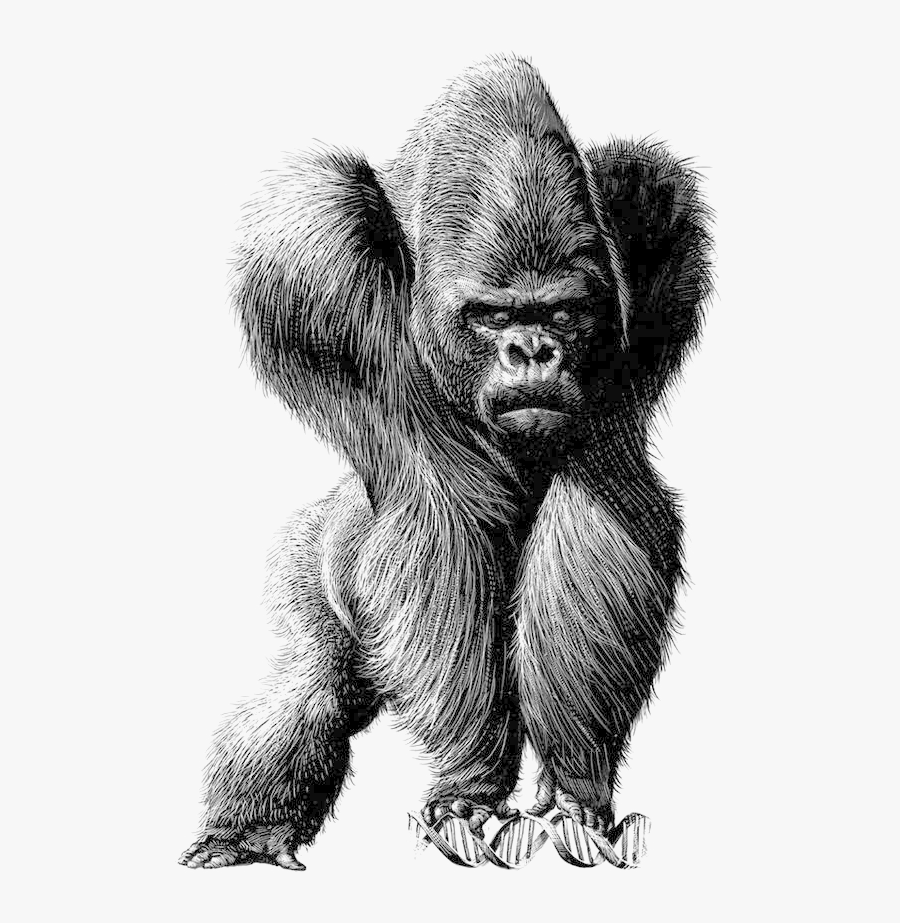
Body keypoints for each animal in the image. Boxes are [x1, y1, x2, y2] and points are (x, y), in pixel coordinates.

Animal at [179, 55, 712, 870]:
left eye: (562, 313)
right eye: (492, 316)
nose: (533, 352)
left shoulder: (657, 221)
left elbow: (600, 511)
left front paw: (577, 784)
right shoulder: (306, 249)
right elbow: (438, 520)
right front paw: (471, 782)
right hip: (305, 558)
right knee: (311, 684)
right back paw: (247, 829)